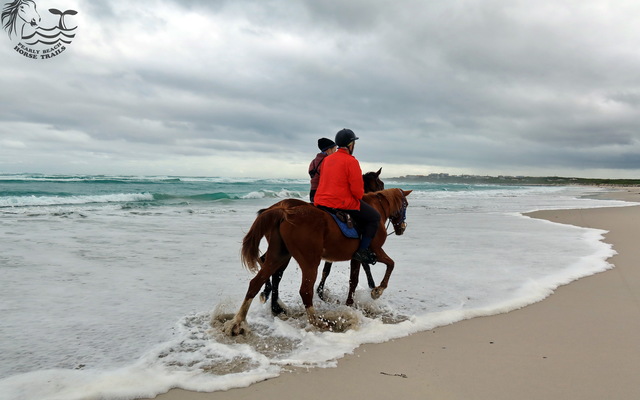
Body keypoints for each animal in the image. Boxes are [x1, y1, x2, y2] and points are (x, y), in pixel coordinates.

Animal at [223, 188, 411, 336]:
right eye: (406, 205)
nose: (402, 228)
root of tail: (285, 212)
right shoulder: (376, 250)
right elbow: (391, 264)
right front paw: (377, 290)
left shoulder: (355, 257)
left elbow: (353, 280)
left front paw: (350, 304)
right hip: (309, 261)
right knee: (305, 290)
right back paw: (316, 321)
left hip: (279, 255)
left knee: (258, 281)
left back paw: (240, 321)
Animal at [259, 168, 384, 314]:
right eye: (380, 184)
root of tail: (271, 209)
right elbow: (361, 265)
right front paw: (372, 285)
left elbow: (328, 269)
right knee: (273, 269)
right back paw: (271, 298)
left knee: (267, 263)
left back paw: (270, 297)